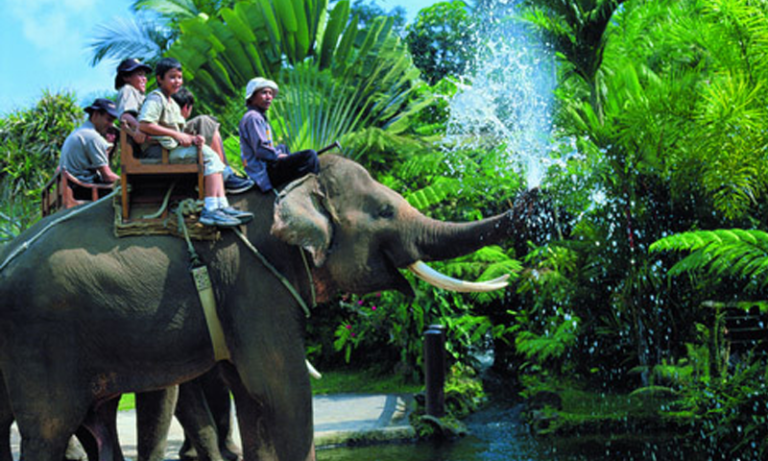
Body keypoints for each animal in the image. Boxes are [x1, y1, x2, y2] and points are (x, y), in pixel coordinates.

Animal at [0, 154, 531, 461]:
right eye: (384, 211)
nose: (535, 195)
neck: (286, 190)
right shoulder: (254, 284)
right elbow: (282, 389)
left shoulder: (238, 298)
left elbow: (252, 397)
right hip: (39, 340)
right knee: (48, 429)